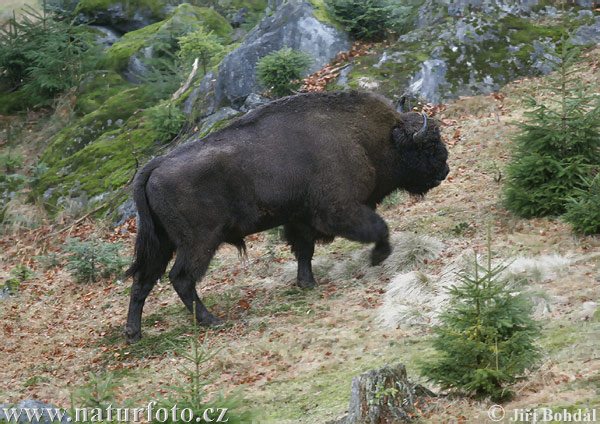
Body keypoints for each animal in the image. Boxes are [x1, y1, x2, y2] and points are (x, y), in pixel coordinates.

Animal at [124, 91, 448, 342]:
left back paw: (133, 334)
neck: (371, 138)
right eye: (428, 146)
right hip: (199, 241)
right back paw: (210, 319)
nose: (444, 170)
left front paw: (307, 283)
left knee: (143, 281)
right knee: (181, 278)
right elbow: (378, 228)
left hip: (162, 243)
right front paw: (378, 257)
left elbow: (304, 250)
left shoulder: (300, 219)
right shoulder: (339, 210)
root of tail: (153, 167)